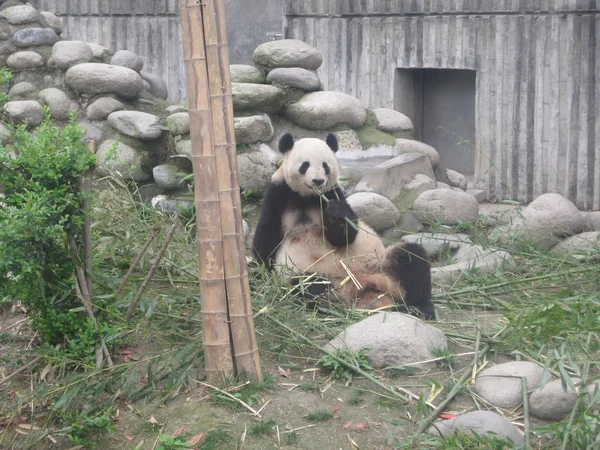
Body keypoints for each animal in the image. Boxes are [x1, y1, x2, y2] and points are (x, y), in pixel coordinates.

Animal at [251, 132, 434, 318]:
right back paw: (330, 303)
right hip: (318, 275)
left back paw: (420, 308)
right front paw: (259, 273)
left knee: (411, 259)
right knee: (308, 284)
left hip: (379, 265)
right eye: (305, 165)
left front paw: (338, 216)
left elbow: (344, 237)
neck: (307, 197)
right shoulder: (278, 194)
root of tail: (361, 287)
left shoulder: (333, 193)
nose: (318, 181)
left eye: (325, 166)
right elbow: (267, 236)